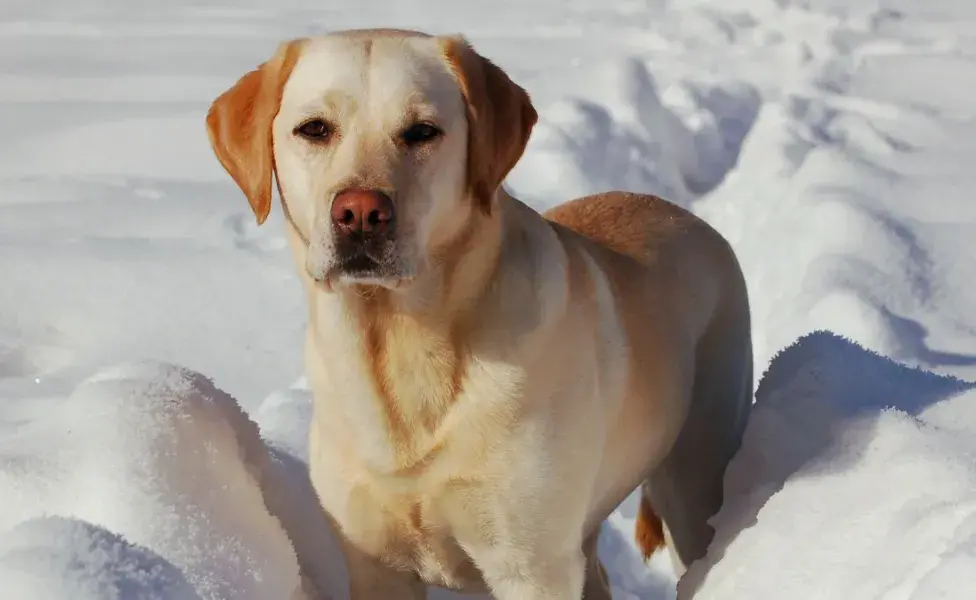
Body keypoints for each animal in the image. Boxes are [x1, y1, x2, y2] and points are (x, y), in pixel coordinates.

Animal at [206, 29, 756, 600]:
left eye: (422, 131)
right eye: (314, 129)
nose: (359, 213)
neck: (401, 345)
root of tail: (687, 217)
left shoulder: (531, 568)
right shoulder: (374, 563)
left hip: (693, 482)